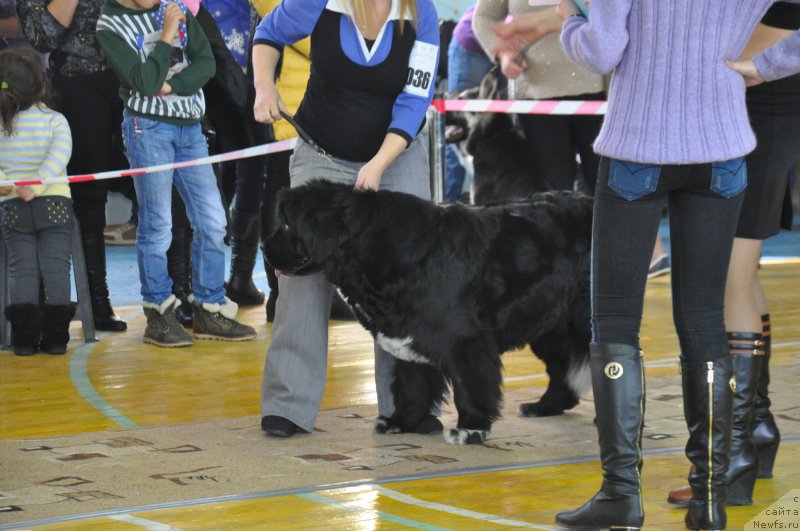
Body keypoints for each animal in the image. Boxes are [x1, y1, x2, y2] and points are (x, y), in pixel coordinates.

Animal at [266, 182, 592, 444]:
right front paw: (402, 422)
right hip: (551, 327)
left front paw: (471, 428)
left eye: (286, 226)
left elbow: (468, 386)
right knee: (561, 370)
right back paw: (542, 407)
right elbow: (412, 385)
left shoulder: (466, 342)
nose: (266, 250)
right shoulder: (408, 334)